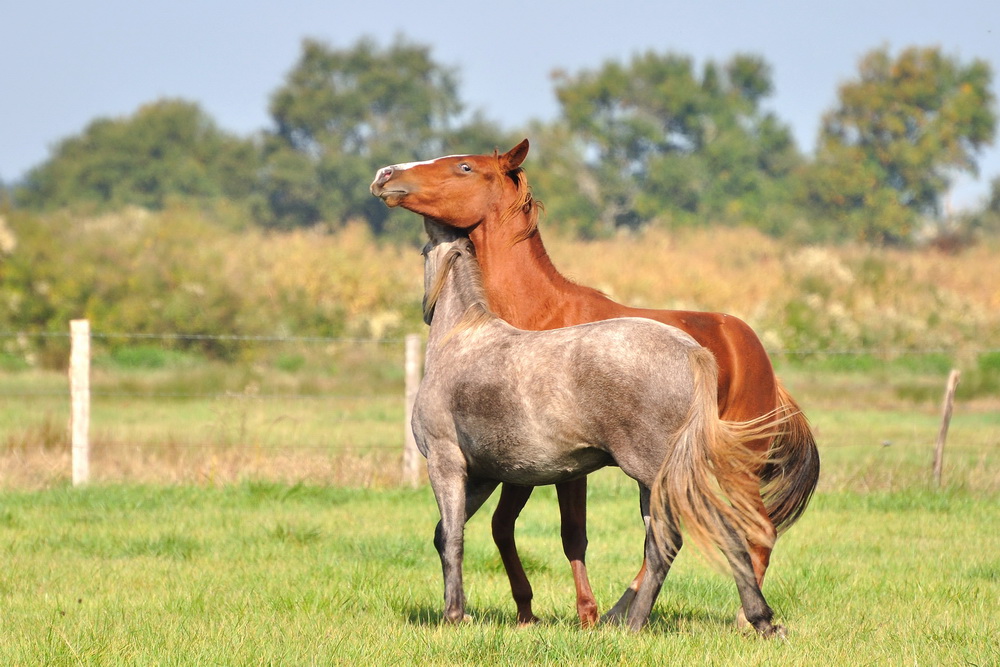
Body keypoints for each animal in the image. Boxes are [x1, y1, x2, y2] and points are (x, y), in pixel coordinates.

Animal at [372, 138, 816, 628]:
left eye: (464, 167)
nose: (385, 175)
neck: (470, 331)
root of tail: (714, 348)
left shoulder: (462, 463)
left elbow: (491, 536)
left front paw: (468, 614)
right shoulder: (497, 472)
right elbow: (485, 529)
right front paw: (529, 611)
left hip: (719, 470)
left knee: (745, 530)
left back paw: (729, 618)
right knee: (675, 540)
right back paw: (642, 619)